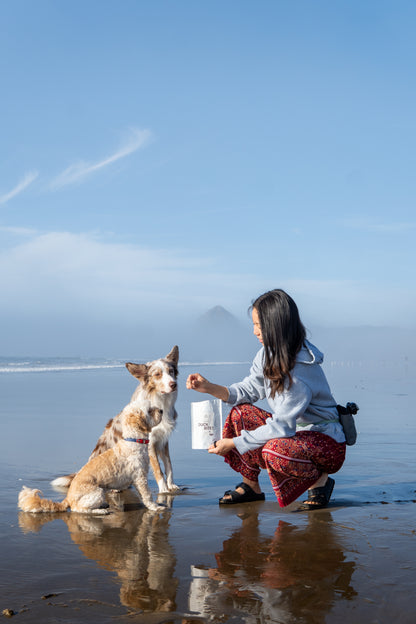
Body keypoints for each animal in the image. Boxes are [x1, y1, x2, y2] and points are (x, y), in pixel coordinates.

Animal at [18, 402, 164, 516]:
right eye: (150, 410)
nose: (162, 410)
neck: (133, 440)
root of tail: (67, 498)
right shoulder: (140, 477)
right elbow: (147, 495)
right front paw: (155, 507)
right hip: (97, 492)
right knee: (79, 509)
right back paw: (100, 511)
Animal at [51, 346, 180, 492]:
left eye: (171, 371)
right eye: (157, 374)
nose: (174, 384)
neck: (160, 400)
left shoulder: (163, 440)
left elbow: (169, 464)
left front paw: (171, 485)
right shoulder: (150, 442)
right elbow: (158, 469)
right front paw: (164, 490)